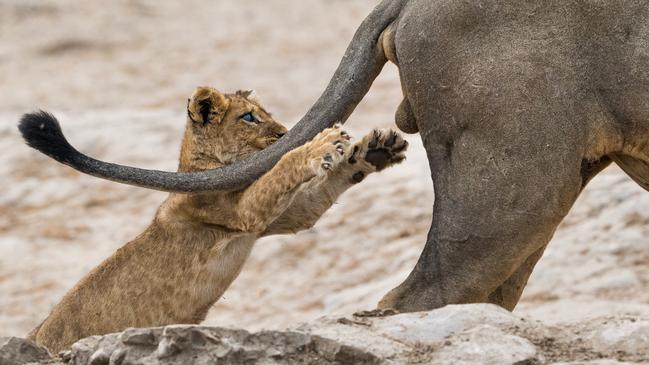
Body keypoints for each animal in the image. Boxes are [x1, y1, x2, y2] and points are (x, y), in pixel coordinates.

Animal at [17, 0, 648, 312]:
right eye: (249, 116)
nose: (276, 130)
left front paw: (363, 152)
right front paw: (327, 146)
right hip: (516, 170)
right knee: (430, 292)